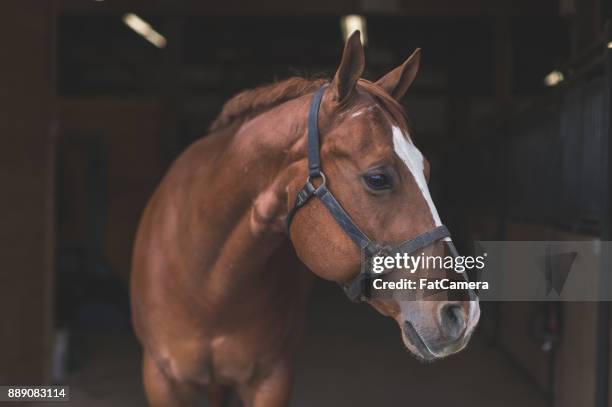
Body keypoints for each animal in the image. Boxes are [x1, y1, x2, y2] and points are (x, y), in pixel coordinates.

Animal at [131, 30, 480, 406]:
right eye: (377, 178)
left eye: (426, 170)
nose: (462, 313)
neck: (209, 285)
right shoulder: (161, 379)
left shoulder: (272, 377)